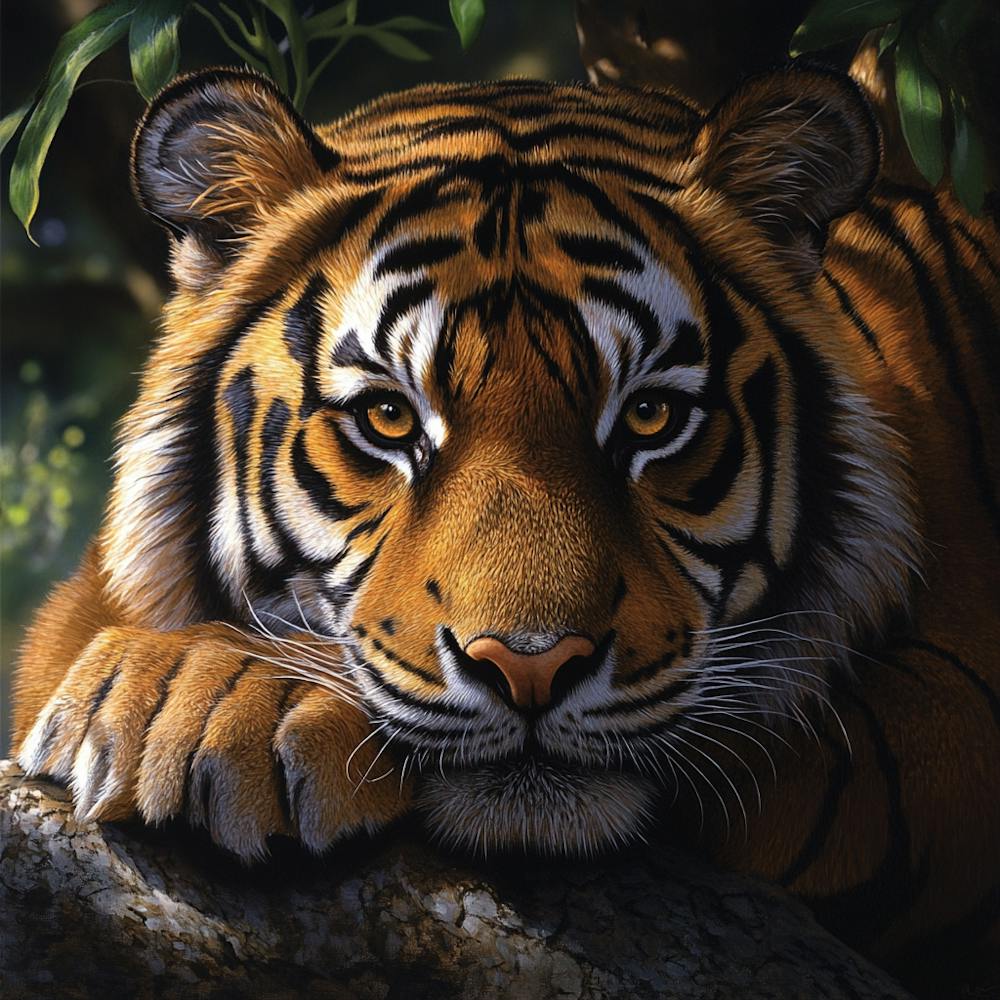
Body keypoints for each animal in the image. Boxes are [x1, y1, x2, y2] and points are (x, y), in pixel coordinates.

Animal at [11, 64, 1000, 986]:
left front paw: (223, 701)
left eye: (650, 418)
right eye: (388, 419)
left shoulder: (936, 716)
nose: (533, 667)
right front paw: (191, 702)